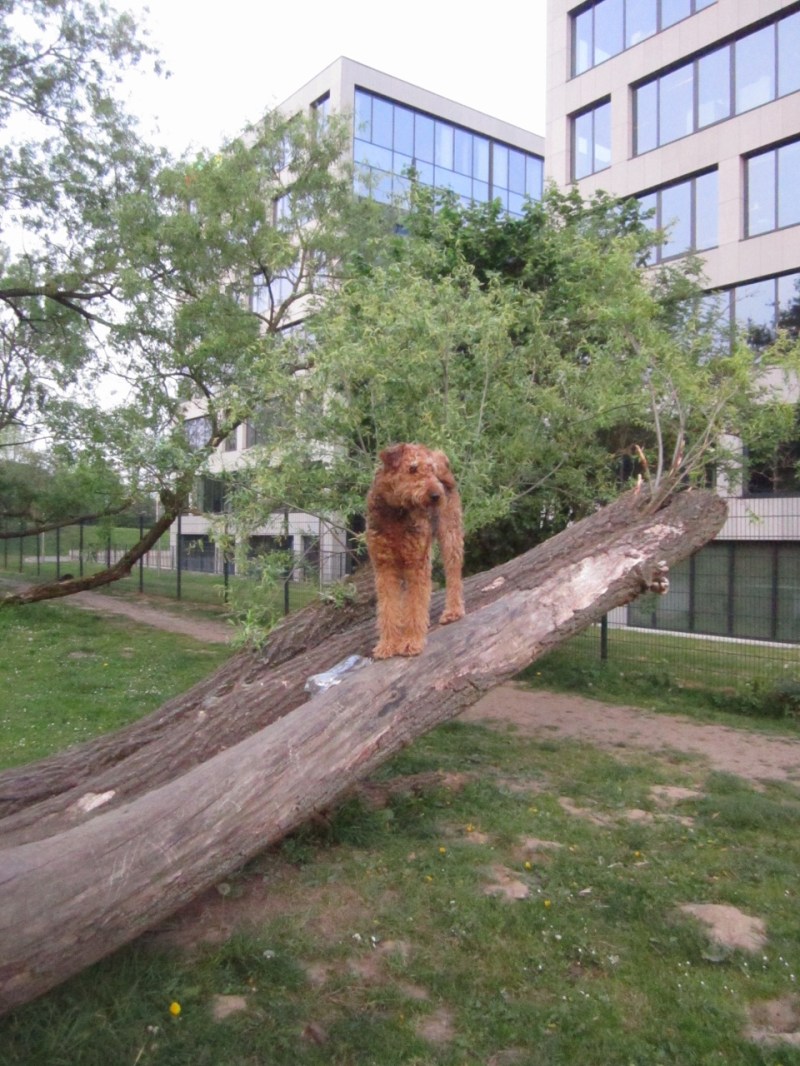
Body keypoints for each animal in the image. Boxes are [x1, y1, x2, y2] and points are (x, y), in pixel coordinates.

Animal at [366, 443, 465, 658]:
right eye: (412, 468)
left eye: (430, 469)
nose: (436, 495)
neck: (396, 512)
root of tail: (442, 462)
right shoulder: (384, 566)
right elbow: (388, 608)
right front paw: (388, 644)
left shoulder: (417, 564)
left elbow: (415, 606)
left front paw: (411, 642)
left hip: (450, 536)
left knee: (454, 576)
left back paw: (453, 611)